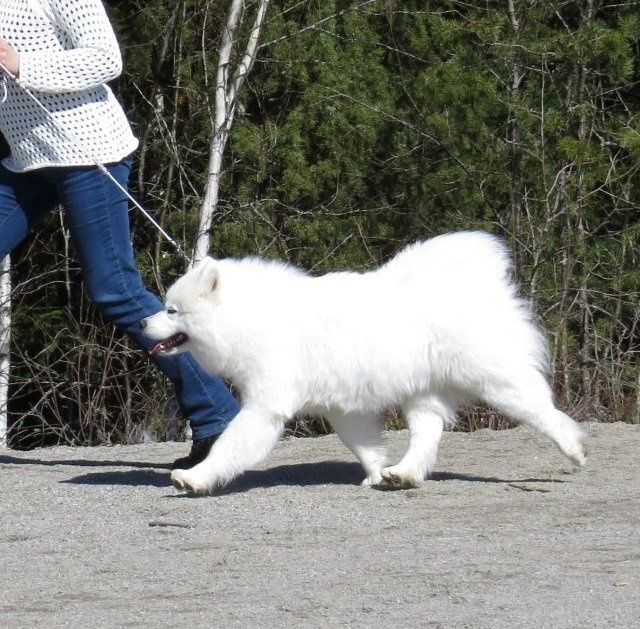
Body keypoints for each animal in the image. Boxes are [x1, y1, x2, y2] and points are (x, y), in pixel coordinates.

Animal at [142, 232, 588, 496]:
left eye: (172, 310)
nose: (143, 323)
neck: (251, 318)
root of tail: (481, 287)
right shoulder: (341, 407)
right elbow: (364, 444)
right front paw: (377, 471)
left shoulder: (266, 407)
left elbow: (229, 446)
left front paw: (195, 478)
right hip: (422, 392)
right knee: (427, 434)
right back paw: (403, 473)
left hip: (496, 382)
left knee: (542, 410)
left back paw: (574, 448)